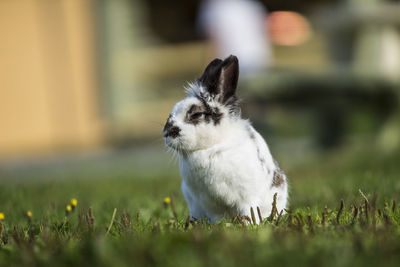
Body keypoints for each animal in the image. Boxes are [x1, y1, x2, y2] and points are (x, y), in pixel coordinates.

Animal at [162, 54, 288, 224]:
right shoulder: (209, 203)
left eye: (196, 114)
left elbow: (249, 210)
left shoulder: (247, 196)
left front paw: (250, 224)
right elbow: (217, 216)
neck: (210, 148)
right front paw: (219, 226)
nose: (166, 133)